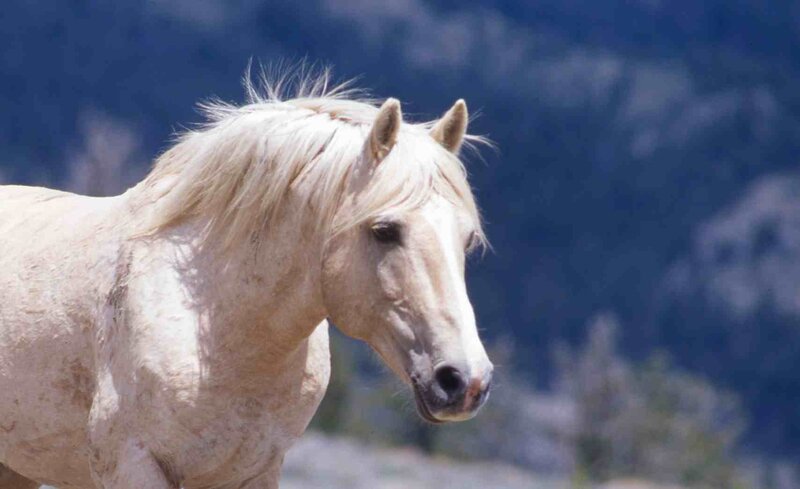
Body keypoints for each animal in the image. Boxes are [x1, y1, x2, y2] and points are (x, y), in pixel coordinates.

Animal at [0, 72, 494, 488]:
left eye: (467, 239)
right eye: (385, 230)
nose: (464, 381)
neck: (214, 324)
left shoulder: (255, 471)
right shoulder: (133, 465)